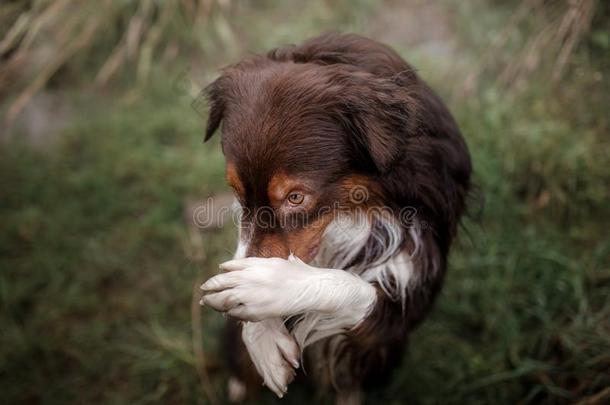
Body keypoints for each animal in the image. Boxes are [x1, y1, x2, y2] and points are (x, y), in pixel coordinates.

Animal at [200, 33, 470, 402]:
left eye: (296, 198)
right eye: (236, 190)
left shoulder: (416, 279)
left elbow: (355, 288)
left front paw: (264, 287)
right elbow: (246, 250)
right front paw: (261, 336)